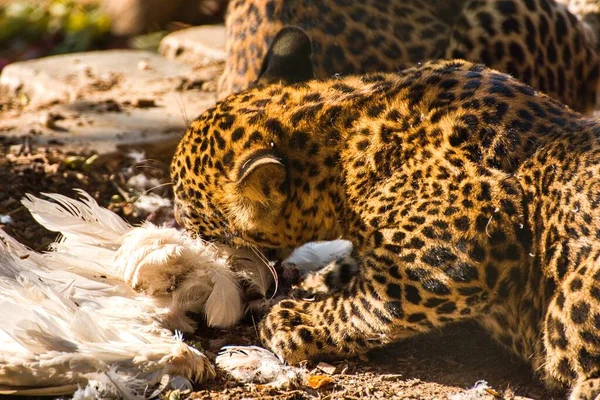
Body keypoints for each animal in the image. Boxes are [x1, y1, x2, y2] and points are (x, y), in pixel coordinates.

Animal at [172, 26, 600, 398]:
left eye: (201, 230)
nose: (188, 241)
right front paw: (322, 280)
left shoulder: (476, 229)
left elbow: (375, 301)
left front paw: (296, 320)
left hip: (573, 292)